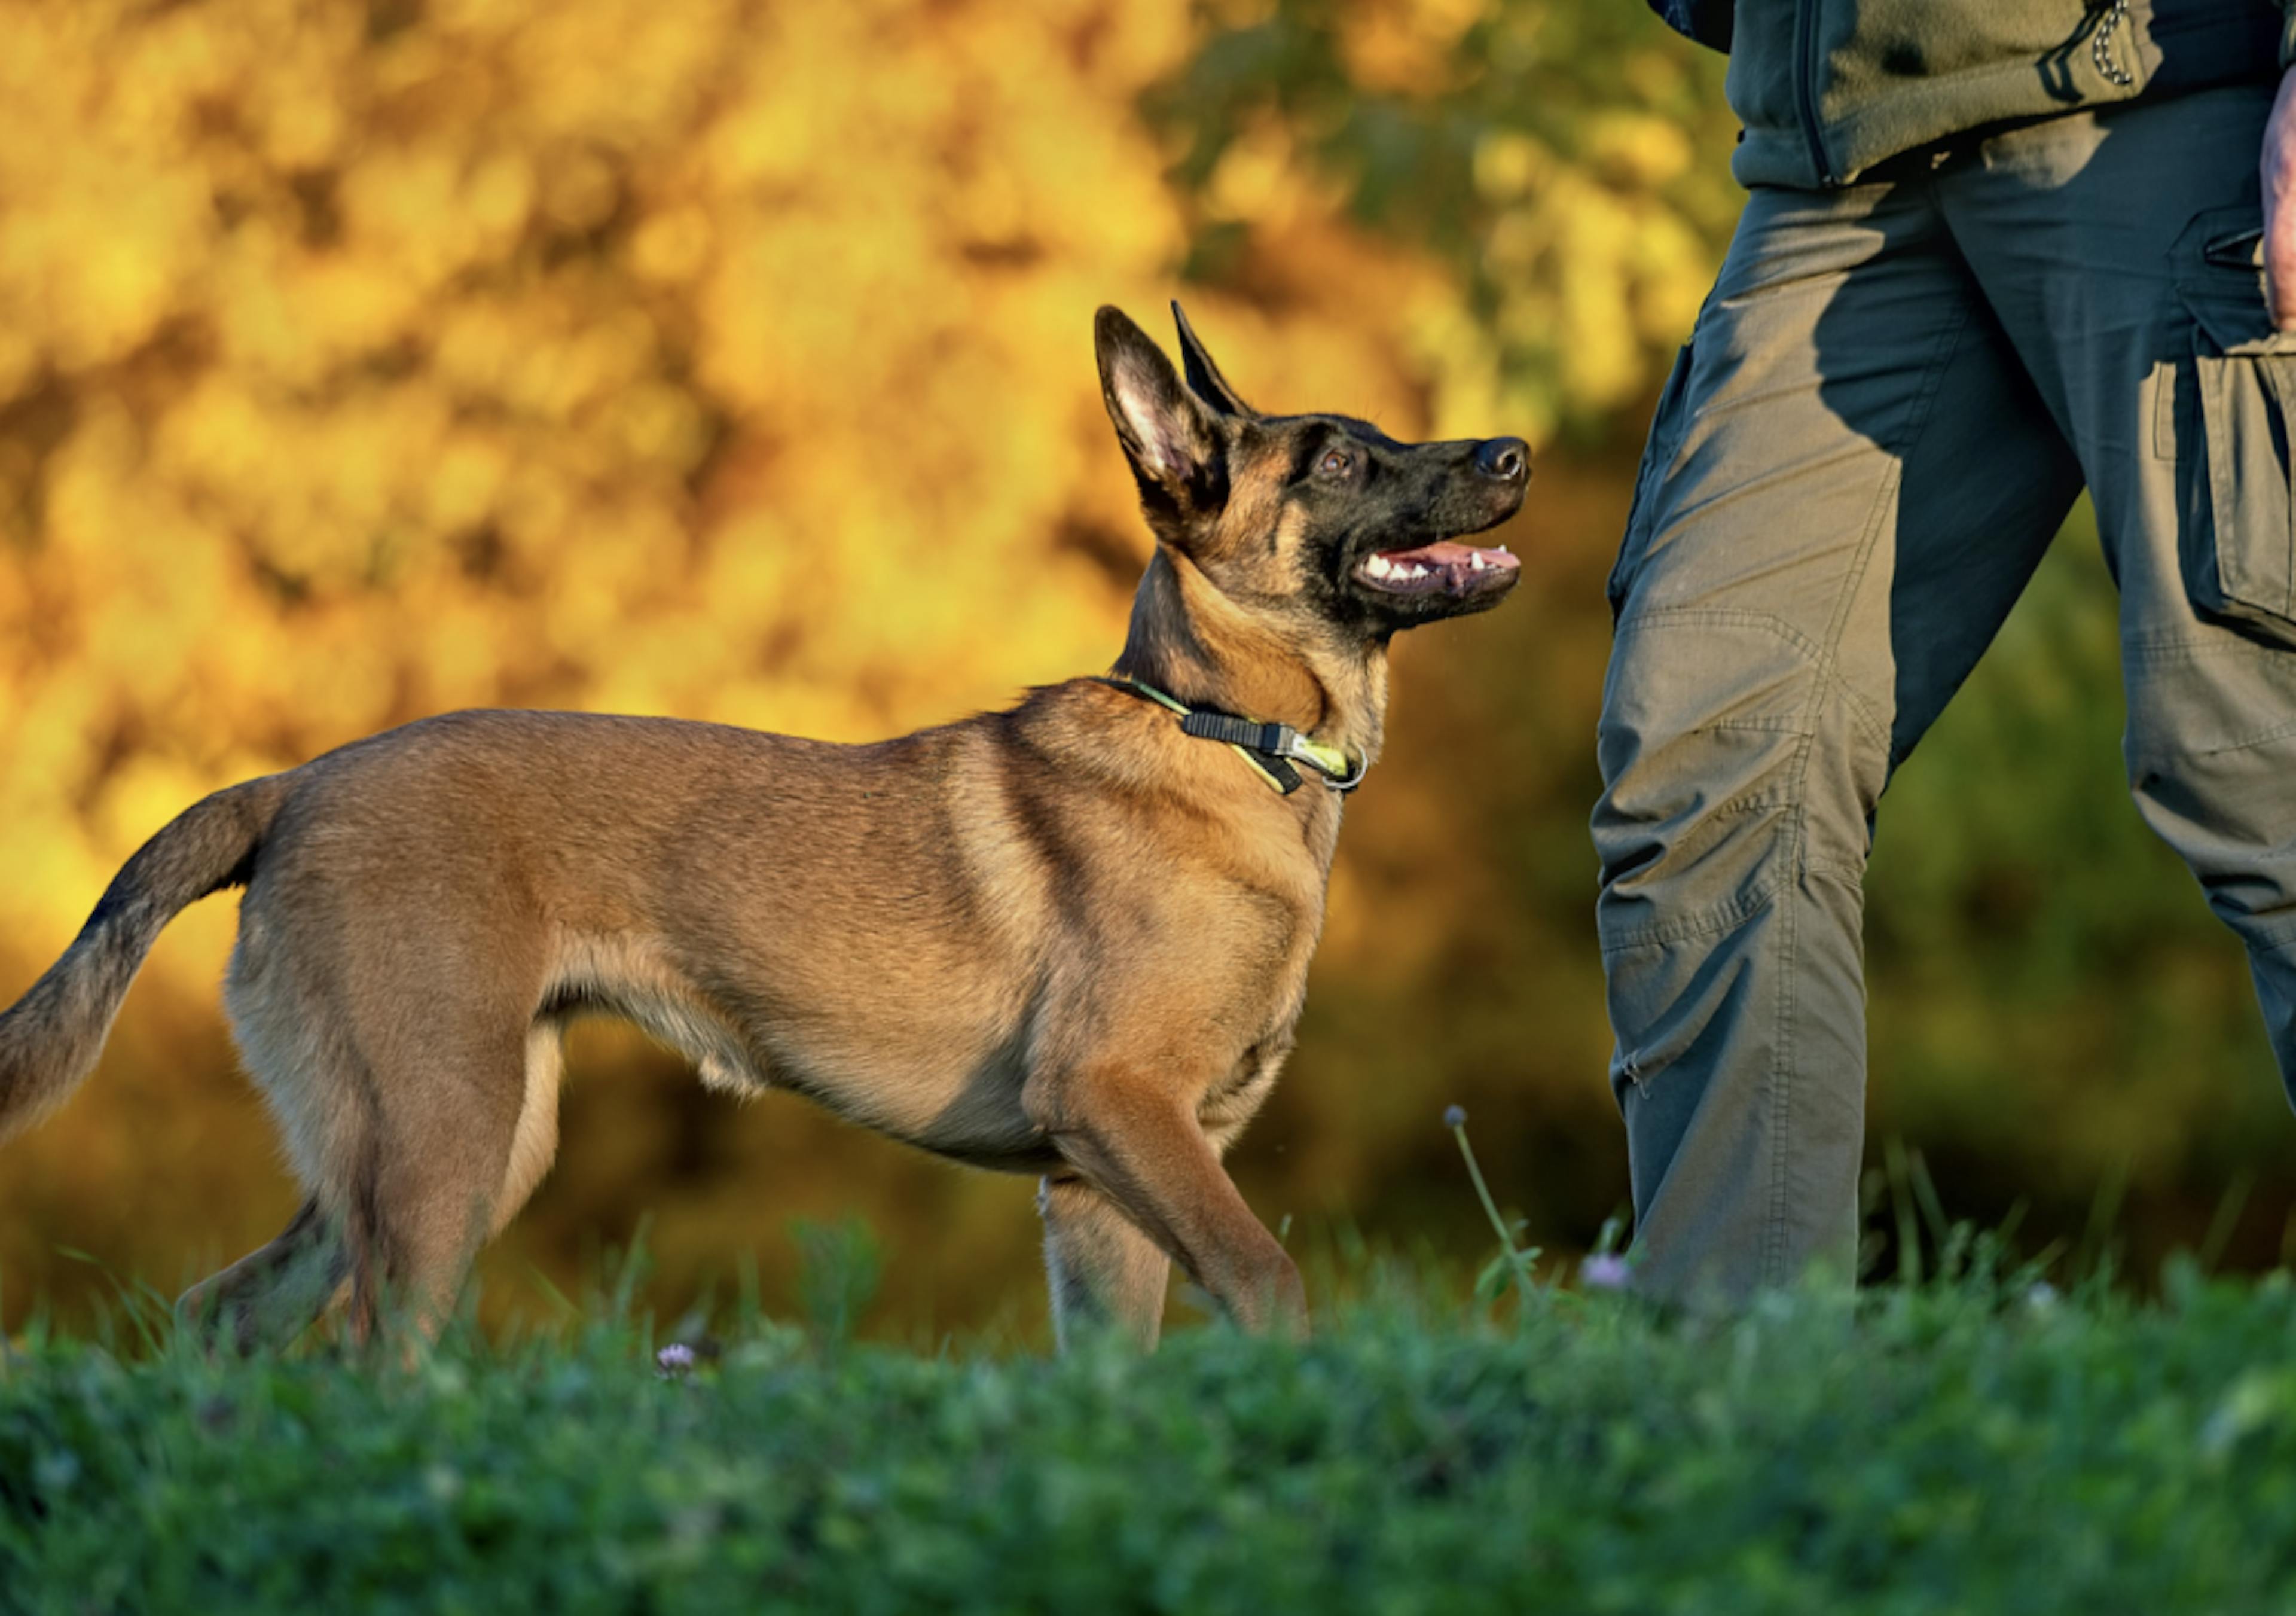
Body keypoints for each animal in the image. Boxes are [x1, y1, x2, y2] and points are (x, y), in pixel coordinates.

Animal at [0, 303, 1524, 1349]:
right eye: (1338, 461)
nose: (1515, 450)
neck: (1226, 738)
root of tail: (298, 782)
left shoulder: (1099, 1192)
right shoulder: (1120, 1111)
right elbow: (1271, 1280)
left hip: (440, 1147)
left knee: (219, 1317)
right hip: (438, 1144)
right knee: (370, 1357)